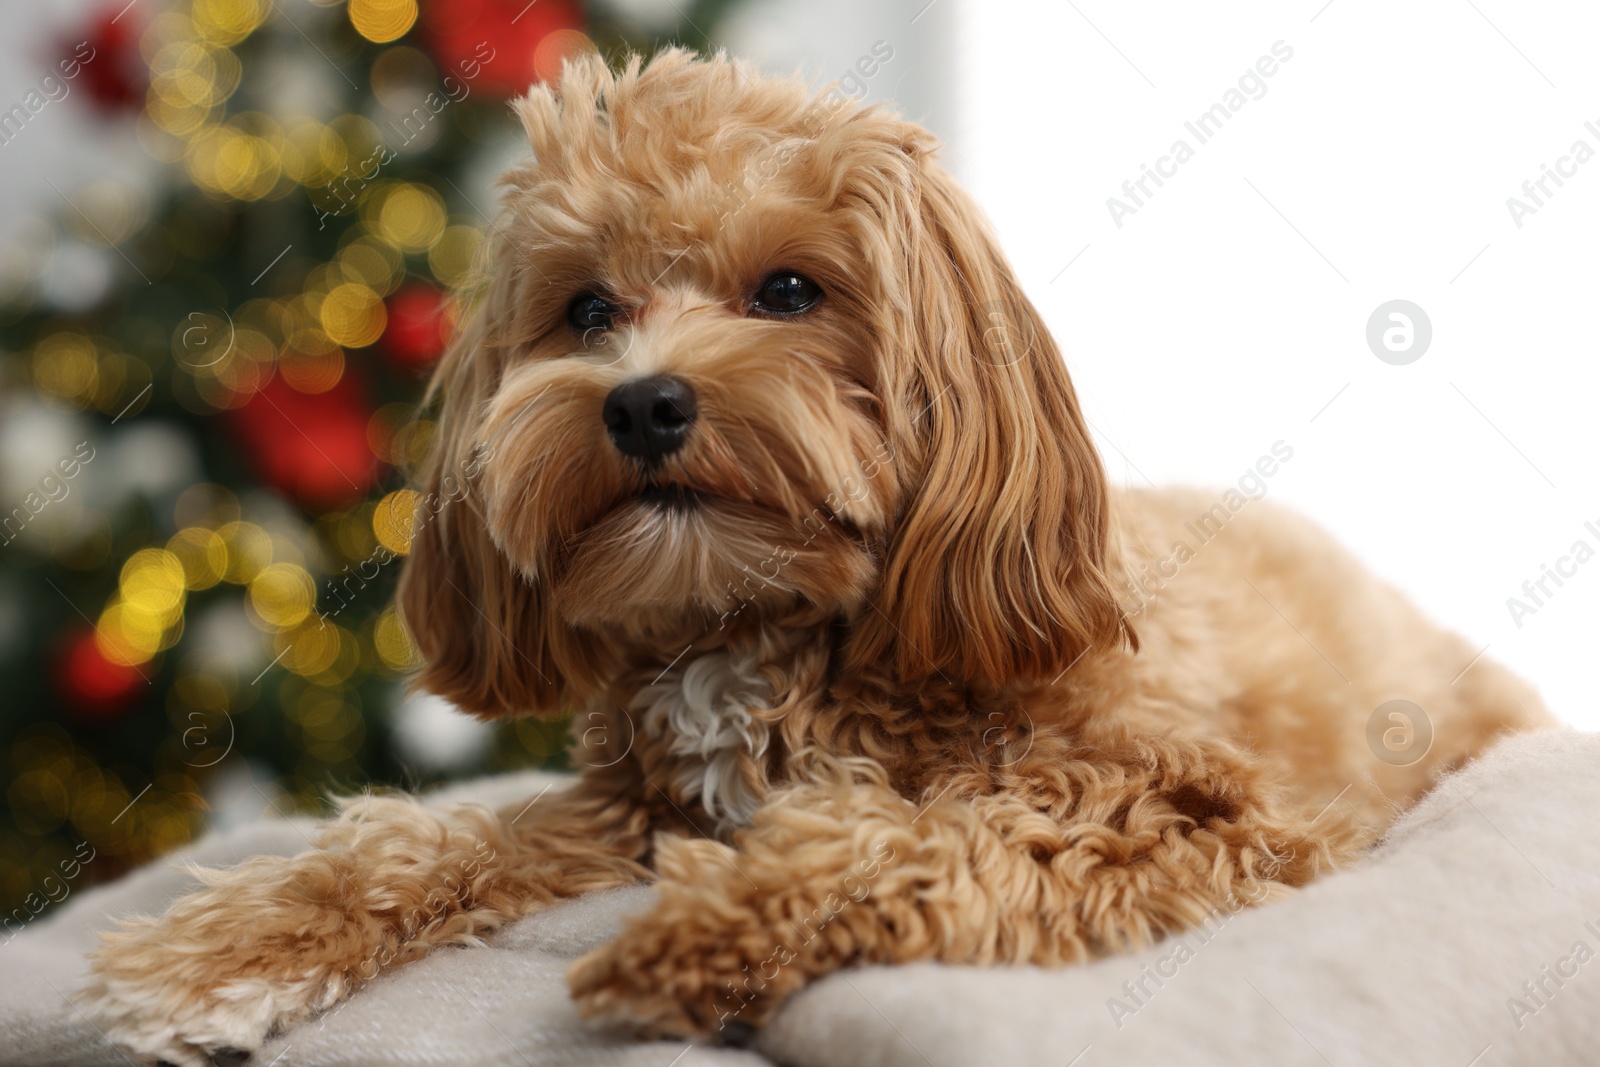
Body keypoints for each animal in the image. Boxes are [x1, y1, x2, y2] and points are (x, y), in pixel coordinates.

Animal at [84, 49, 1548, 1067]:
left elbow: (942, 831)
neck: (765, 628)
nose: (643, 403)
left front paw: (696, 933)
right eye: (587, 309)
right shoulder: (636, 810)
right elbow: (413, 831)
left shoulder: (1207, 813)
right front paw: (219, 954)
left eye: (789, 290)